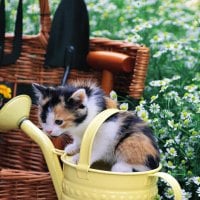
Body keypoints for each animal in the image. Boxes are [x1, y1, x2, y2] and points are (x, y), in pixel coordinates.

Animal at [33, 81, 161, 172]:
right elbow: (80, 140)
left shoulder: (108, 129)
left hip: (133, 139)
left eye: (59, 122)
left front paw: (80, 158)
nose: (48, 131)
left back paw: (121, 167)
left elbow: (98, 147)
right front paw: (73, 147)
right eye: (43, 119)